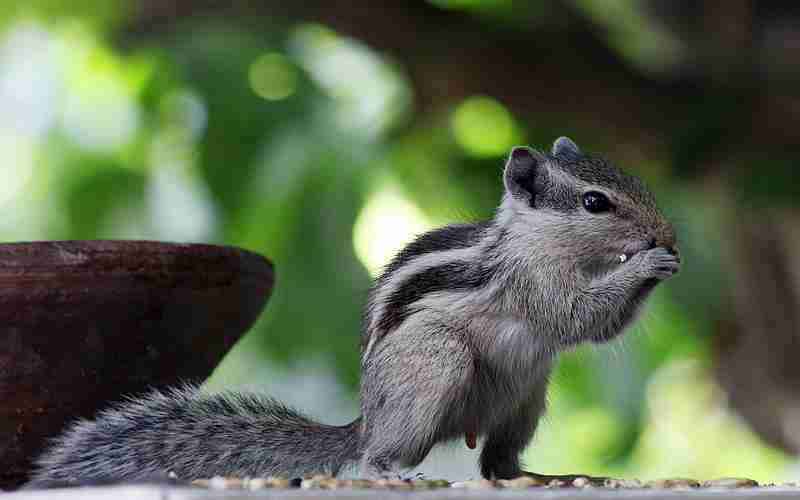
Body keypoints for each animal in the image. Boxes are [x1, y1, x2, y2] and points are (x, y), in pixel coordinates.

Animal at [29, 138, 680, 488]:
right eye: (595, 202)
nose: (666, 233)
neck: (535, 239)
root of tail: (367, 418)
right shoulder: (530, 282)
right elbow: (578, 317)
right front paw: (647, 264)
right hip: (435, 364)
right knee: (378, 456)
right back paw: (390, 468)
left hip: (526, 397)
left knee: (498, 464)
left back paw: (544, 477)